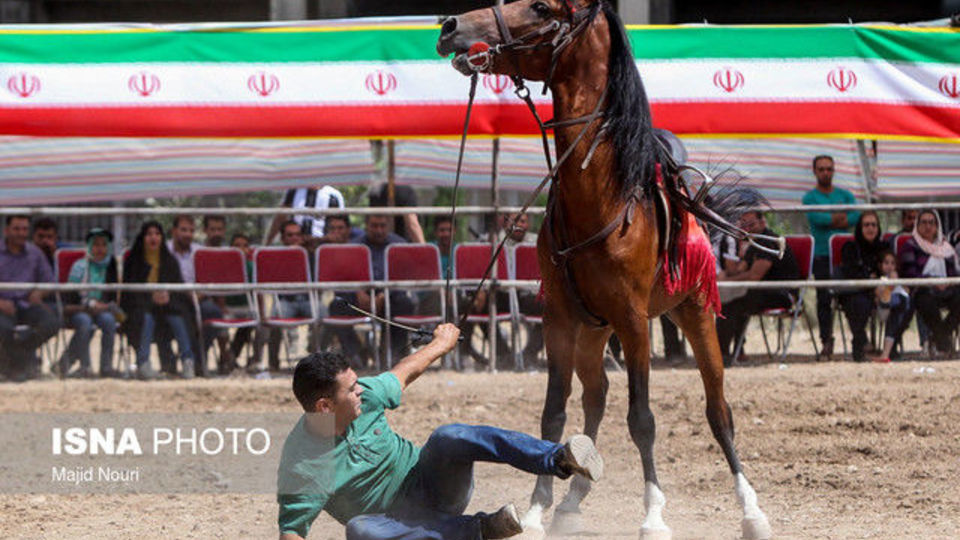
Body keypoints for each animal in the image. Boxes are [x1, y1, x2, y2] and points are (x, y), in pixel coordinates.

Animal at [438, 1, 776, 540]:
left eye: (540, 7)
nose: (451, 26)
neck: (599, 198)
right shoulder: (558, 319)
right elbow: (554, 412)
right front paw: (536, 509)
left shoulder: (634, 321)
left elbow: (643, 419)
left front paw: (654, 515)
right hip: (592, 332)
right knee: (595, 395)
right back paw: (573, 497)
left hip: (693, 313)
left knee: (718, 410)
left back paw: (751, 510)